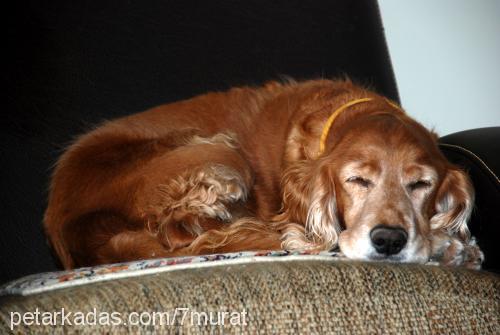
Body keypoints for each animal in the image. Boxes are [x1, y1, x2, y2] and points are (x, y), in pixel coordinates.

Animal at [45, 79, 482, 270]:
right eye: (356, 181)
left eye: (421, 184)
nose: (390, 240)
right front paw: (446, 243)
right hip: (220, 152)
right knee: (182, 232)